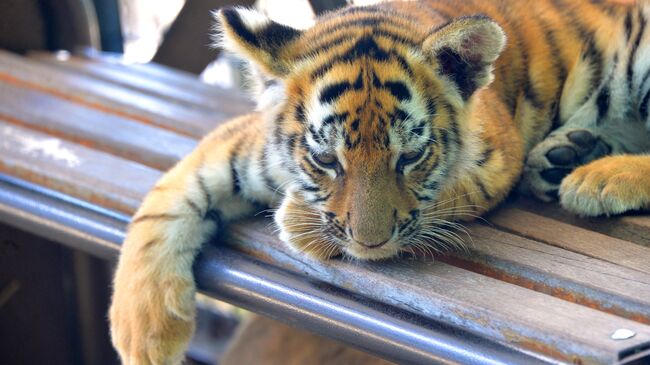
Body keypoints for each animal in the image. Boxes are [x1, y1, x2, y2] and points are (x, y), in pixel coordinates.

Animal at [109, 1, 648, 362]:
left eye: (409, 157)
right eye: (326, 159)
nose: (368, 244)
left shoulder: (496, 160)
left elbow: (432, 202)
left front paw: (298, 222)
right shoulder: (245, 146)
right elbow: (163, 205)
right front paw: (143, 340)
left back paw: (597, 178)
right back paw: (567, 153)